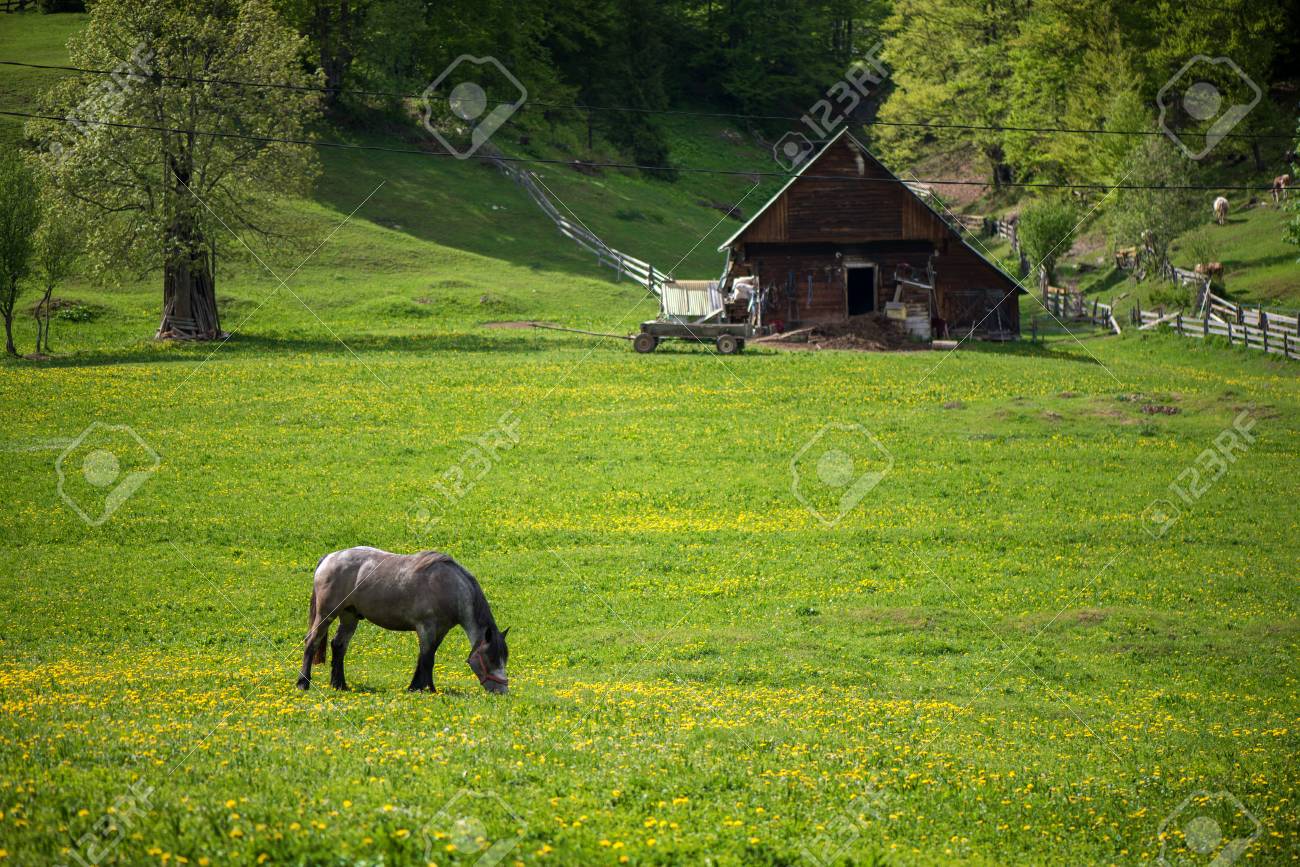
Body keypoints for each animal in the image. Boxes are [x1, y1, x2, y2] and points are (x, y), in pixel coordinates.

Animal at [297, 547, 510, 694]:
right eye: (491, 658)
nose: (503, 692)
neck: (449, 586)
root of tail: (329, 558)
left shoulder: (441, 630)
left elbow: (426, 656)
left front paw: (419, 687)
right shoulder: (426, 627)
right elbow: (427, 658)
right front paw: (427, 689)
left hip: (349, 616)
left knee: (339, 645)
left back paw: (339, 684)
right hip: (326, 614)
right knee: (312, 642)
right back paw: (303, 683)